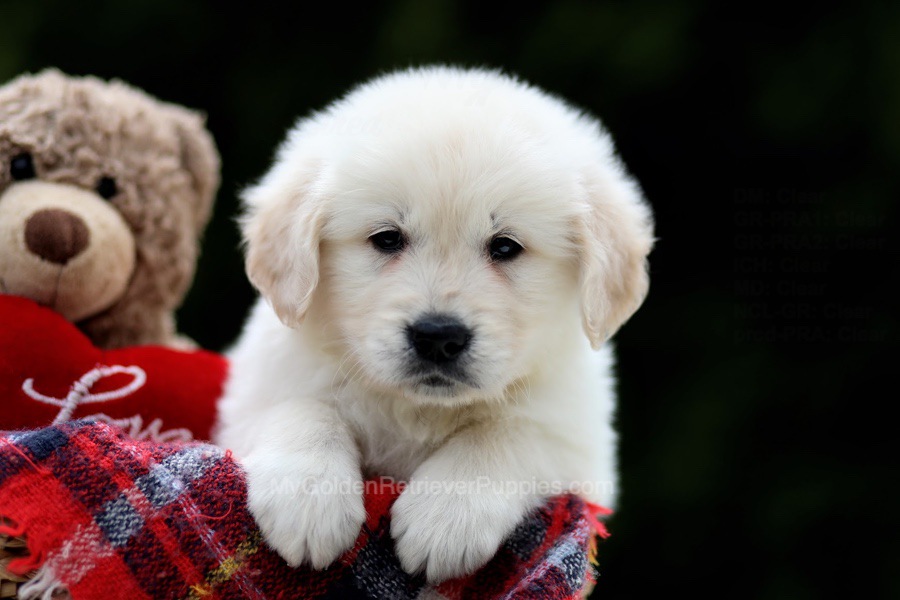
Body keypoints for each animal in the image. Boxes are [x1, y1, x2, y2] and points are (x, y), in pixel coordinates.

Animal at [218, 64, 652, 580]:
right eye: (386, 238)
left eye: (505, 246)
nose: (439, 338)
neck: (418, 409)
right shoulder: (252, 396)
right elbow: (302, 406)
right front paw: (307, 497)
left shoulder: (578, 445)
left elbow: (505, 434)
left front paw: (446, 516)